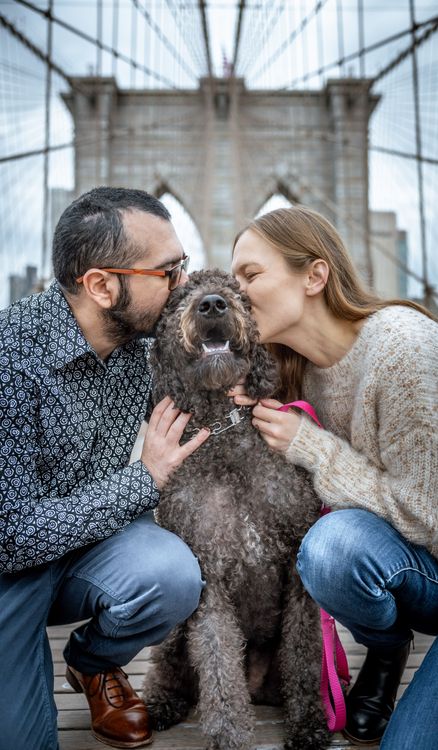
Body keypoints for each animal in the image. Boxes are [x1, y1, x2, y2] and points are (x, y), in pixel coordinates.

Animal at [142, 270, 330, 750]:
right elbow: (219, 667)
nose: (211, 304)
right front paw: (229, 736)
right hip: (177, 627)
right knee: (171, 670)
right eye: (178, 300)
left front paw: (308, 723)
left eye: (239, 294)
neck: (223, 431)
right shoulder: (208, 577)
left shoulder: (297, 572)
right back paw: (160, 704)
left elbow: (303, 655)